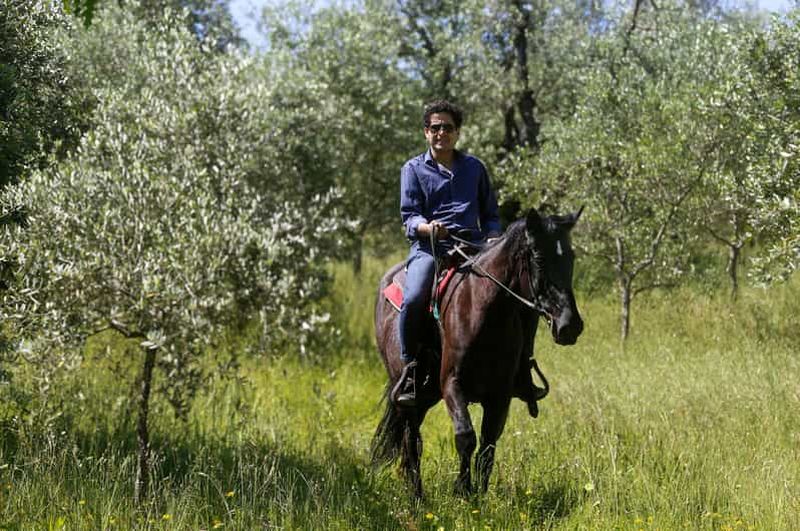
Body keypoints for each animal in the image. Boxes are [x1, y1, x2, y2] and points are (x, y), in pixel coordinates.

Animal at [371, 207, 584, 498]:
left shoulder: (500, 395)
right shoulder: (452, 384)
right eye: (539, 258)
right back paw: (417, 496)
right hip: (407, 394)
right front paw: (462, 490)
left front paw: (481, 496)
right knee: (411, 439)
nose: (570, 325)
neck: (483, 312)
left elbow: (487, 445)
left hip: (425, 396)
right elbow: (466, 437)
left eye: (571, 257)